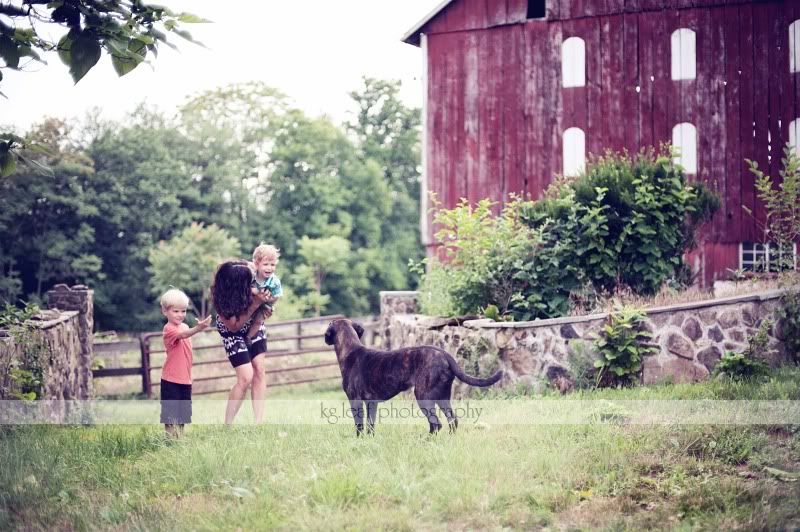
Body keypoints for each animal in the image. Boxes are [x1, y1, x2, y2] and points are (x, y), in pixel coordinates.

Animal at [324, 318, 500, 434]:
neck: (350, 350)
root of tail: (445, 354)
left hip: (423, 396)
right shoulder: (371, 403)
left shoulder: (355, 400)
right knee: (451, 421)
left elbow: (359, 426)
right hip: (442, 397)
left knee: (436, 424)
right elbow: (370, 426)